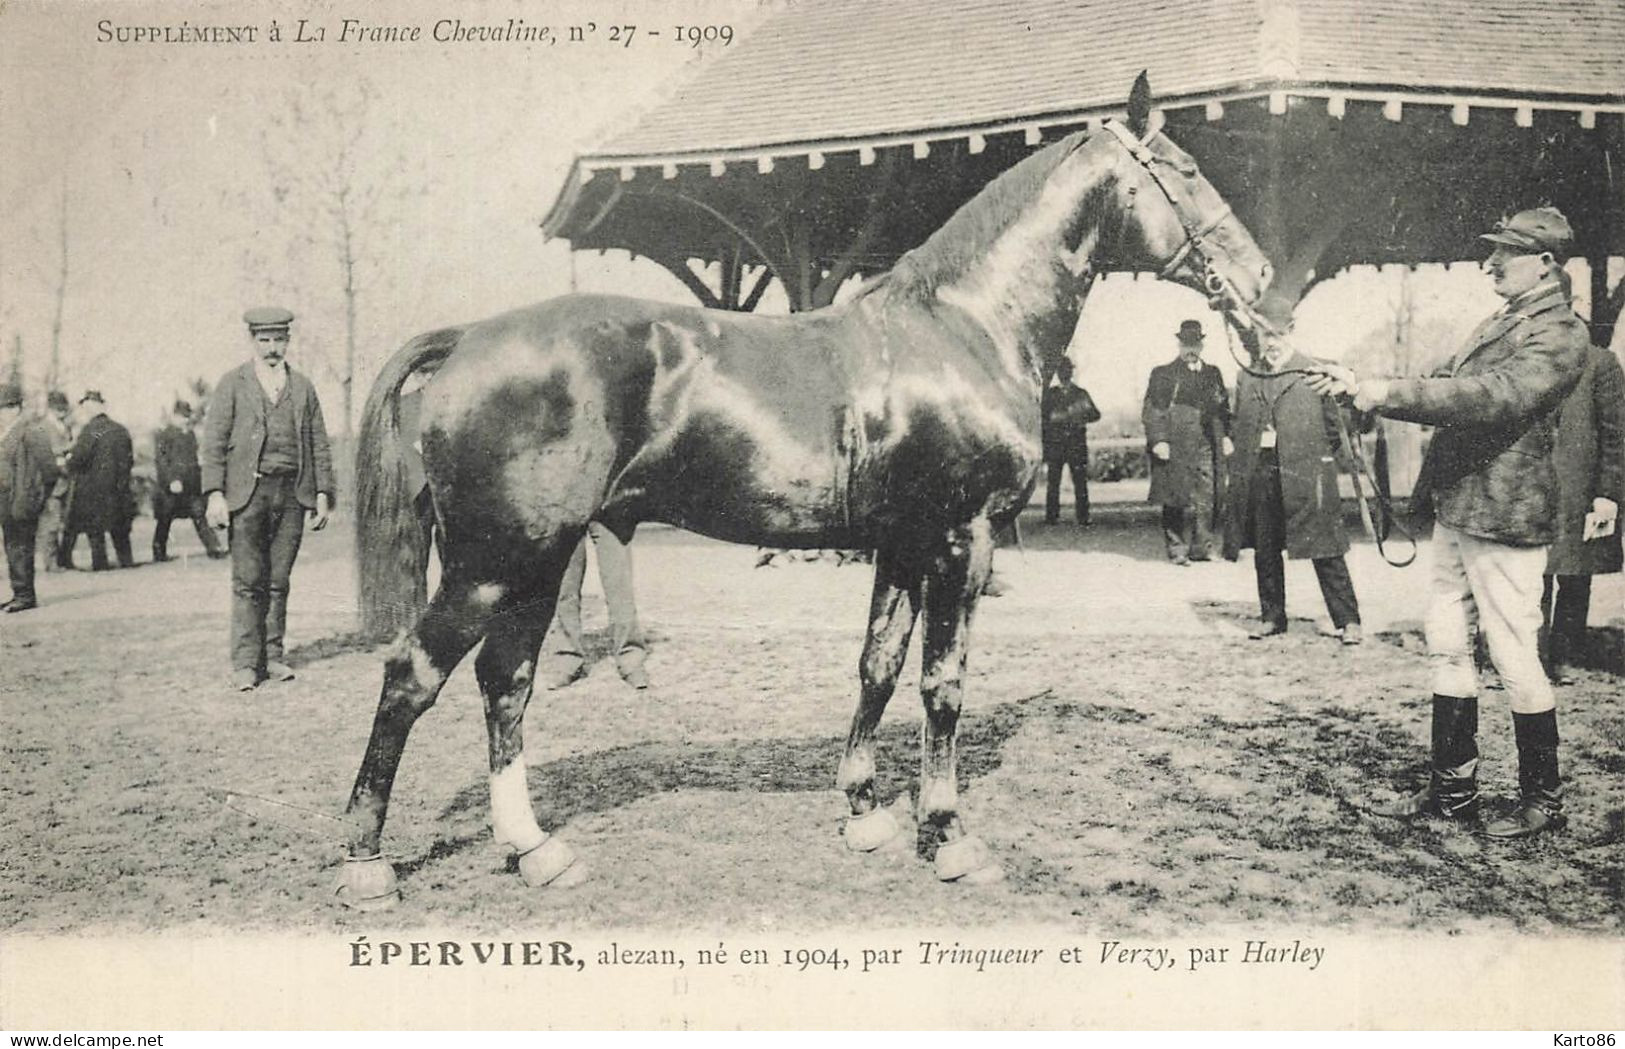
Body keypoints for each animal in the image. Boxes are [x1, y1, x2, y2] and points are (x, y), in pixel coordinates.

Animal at [339, 75, 1267, 909]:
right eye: (1184, 170)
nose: (1258, 279)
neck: (961, 328)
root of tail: (468, 339)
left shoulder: (901, 543)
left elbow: (877, 665)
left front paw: (863, 811)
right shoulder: (961, 539)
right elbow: (942, 682)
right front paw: (947, 834)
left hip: (537, 561)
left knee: (506, 682)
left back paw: (534, 849)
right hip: (493, 561)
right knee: (413, 676)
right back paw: (365, 862)